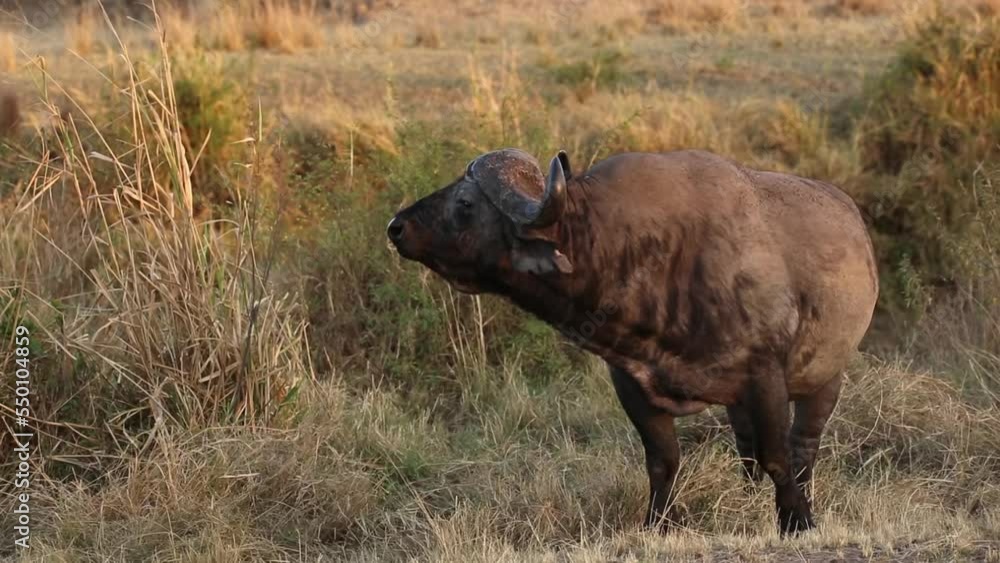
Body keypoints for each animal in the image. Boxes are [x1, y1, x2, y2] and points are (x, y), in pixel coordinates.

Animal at [387, 148, 878, 535]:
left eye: (465, 202)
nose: (395, 226)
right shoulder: (632, 383)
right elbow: (663, 461)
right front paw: (657, 524)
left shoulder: (765, 376)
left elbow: (778, 455)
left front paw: (797, 520)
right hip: (739, 405)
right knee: (746, 453)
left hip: (825, 380)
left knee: (802, 448)